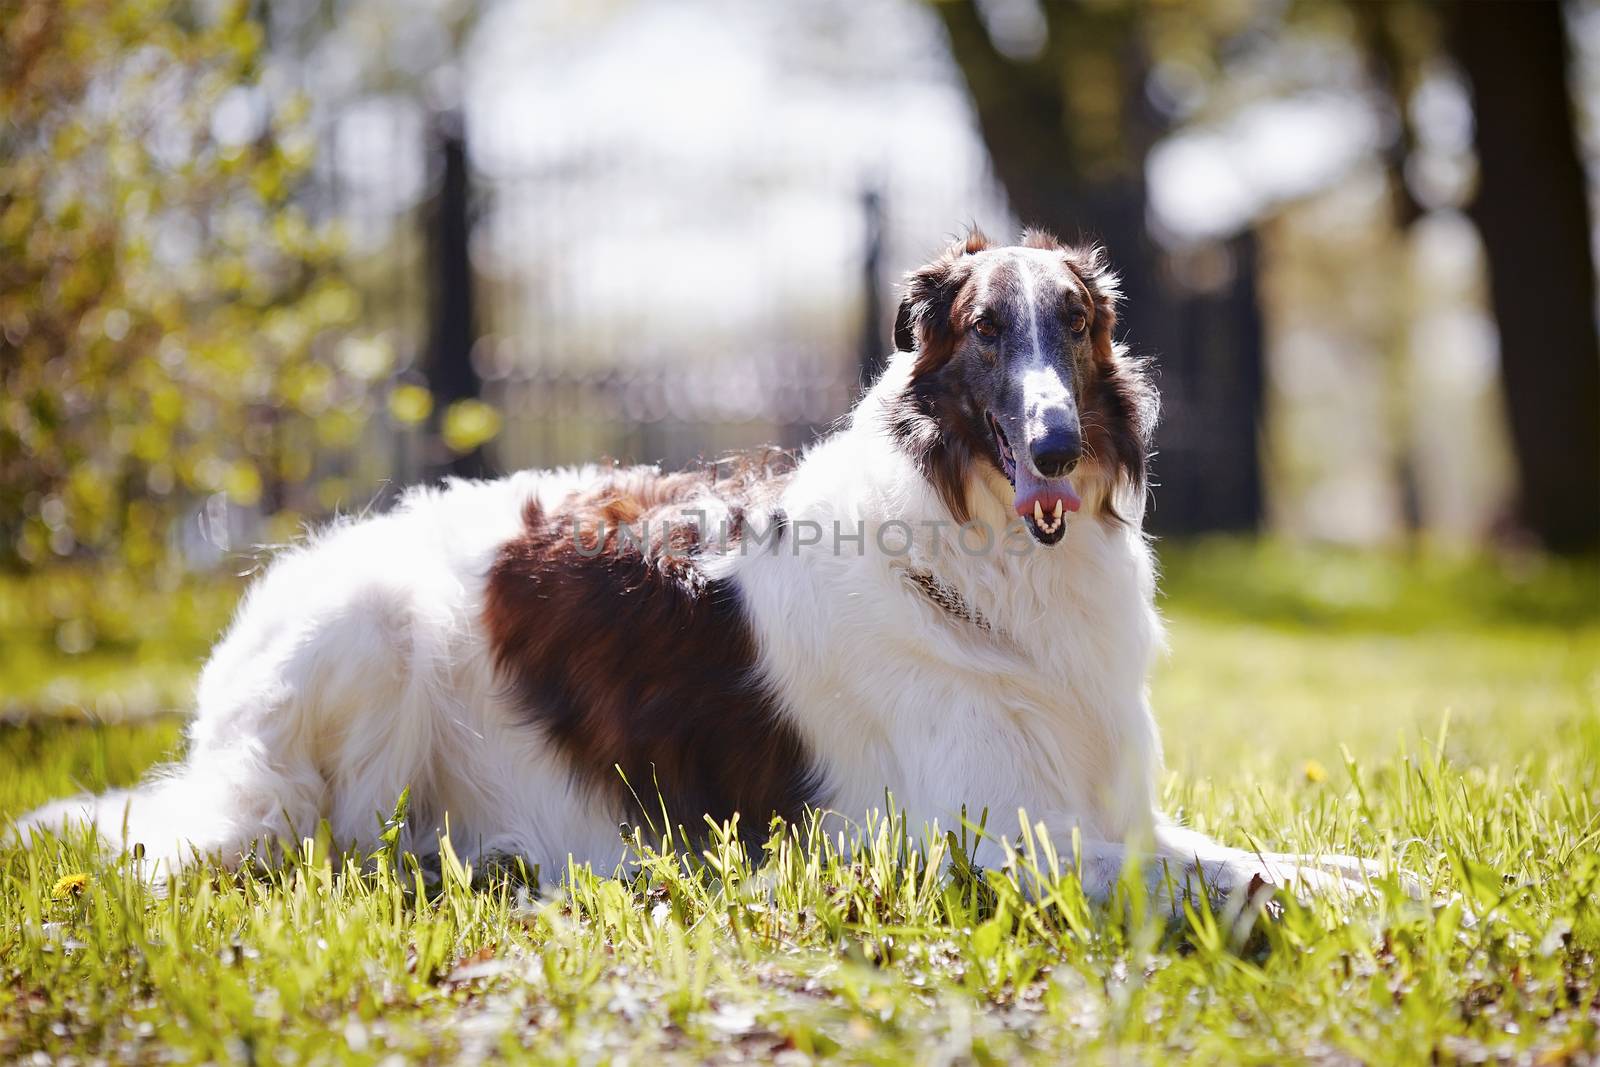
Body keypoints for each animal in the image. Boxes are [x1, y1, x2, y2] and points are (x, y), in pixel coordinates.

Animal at [18, 231, 1395, 902]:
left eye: (1078, 323)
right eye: (984, 331)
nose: (1057, 445)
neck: (973, 558)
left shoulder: (1104, 806)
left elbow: (1249, 854)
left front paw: (1379, 878)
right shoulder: (980, 839)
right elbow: (1231, 874)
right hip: (368, 631)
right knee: (275, 841)